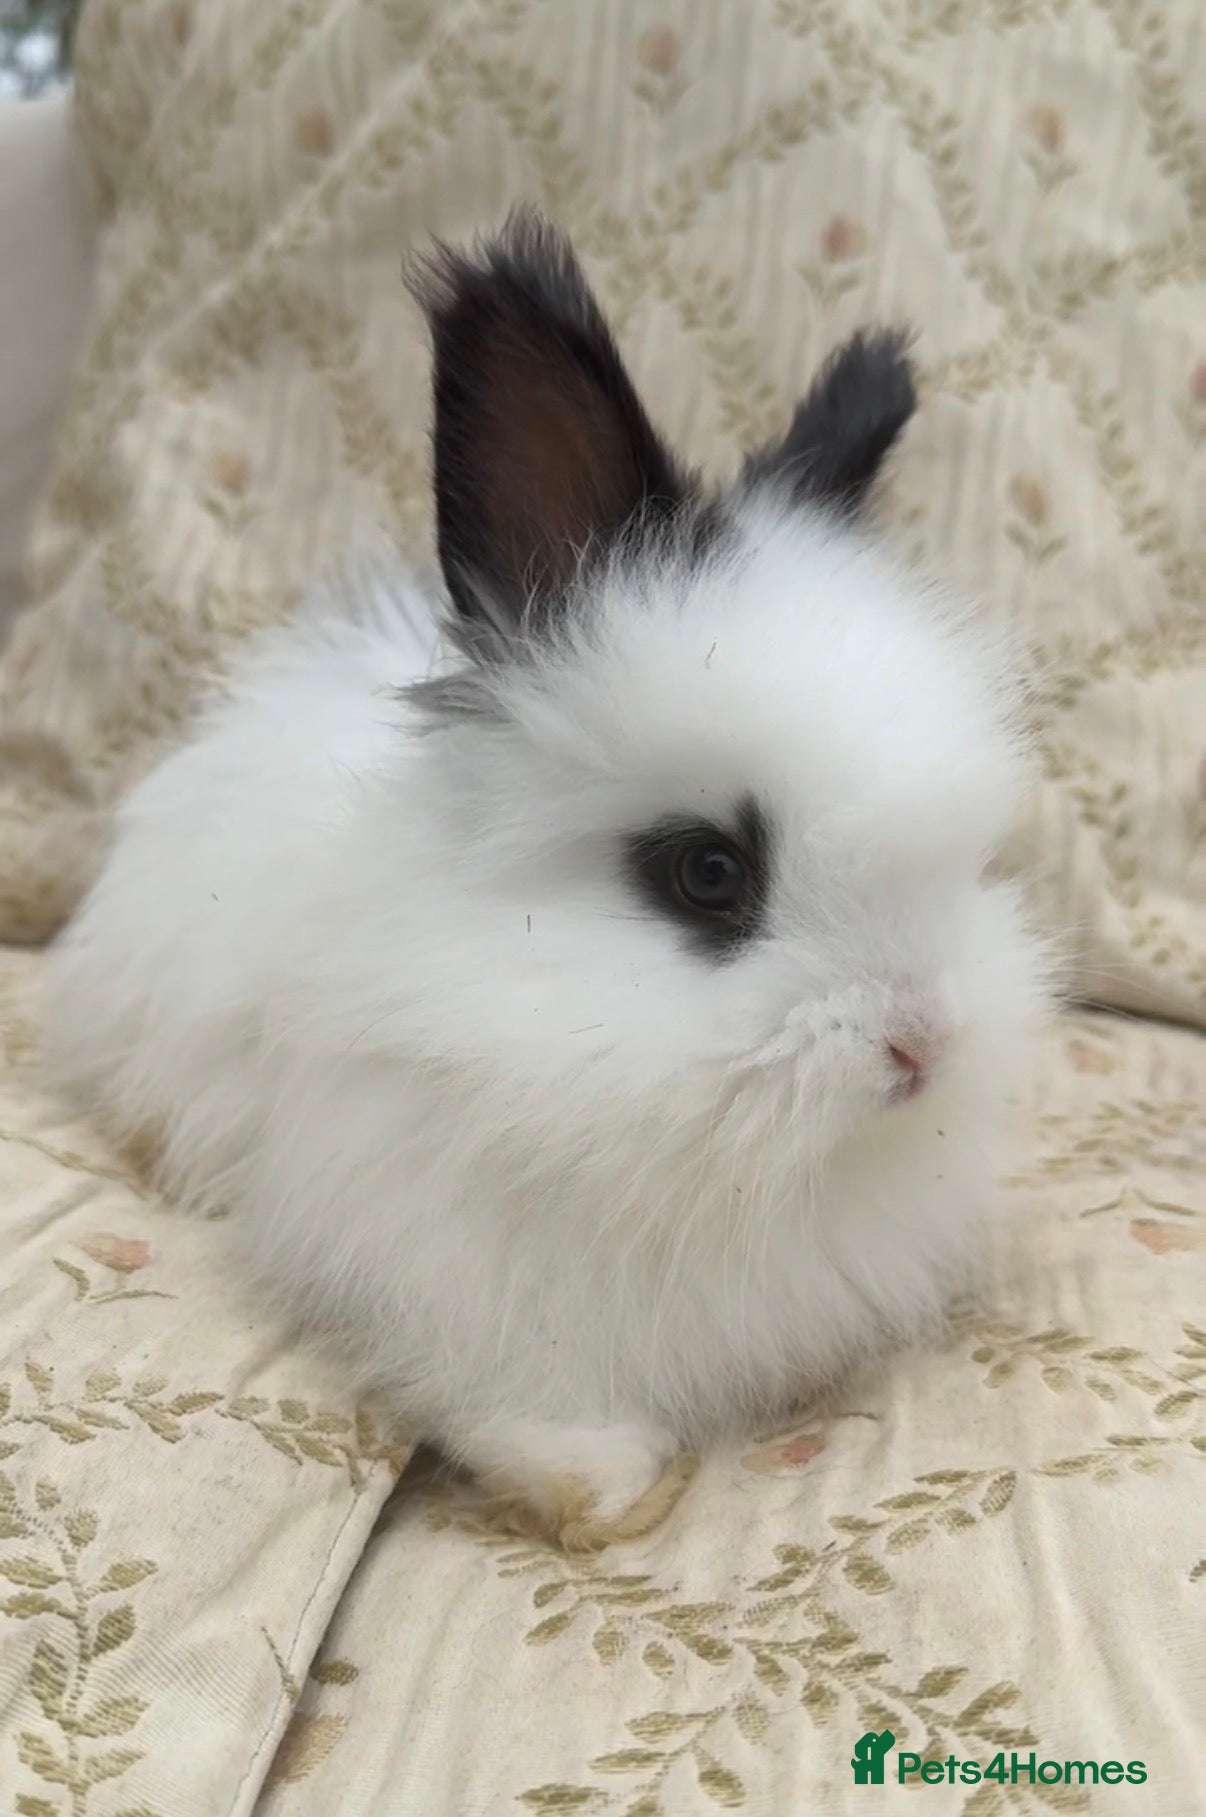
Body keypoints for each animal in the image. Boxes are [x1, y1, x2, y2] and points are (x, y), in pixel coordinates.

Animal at [44, 209, 1048, 1550]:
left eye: (970, 855)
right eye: (710, 872)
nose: (922, 1045)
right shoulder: (441, 1255)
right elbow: (520, 1396)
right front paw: (603, 1487)